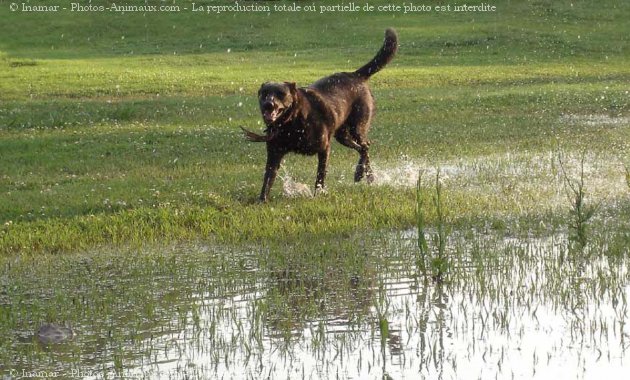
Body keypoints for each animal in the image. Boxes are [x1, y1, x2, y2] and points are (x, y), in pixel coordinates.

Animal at [243, 28, 400, 202]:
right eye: (264, 93)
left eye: (281, 94)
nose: (268, 104)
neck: (292, 122)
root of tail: (354, 75)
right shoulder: (274, 153)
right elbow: (268, 179)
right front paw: (261, 200)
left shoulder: (324, 148)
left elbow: (320, 174)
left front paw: (318, 194)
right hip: (342, 135)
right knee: (361, 147)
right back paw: (362, 174)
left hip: (357, 126)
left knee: (365, 145)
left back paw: (364, 175)